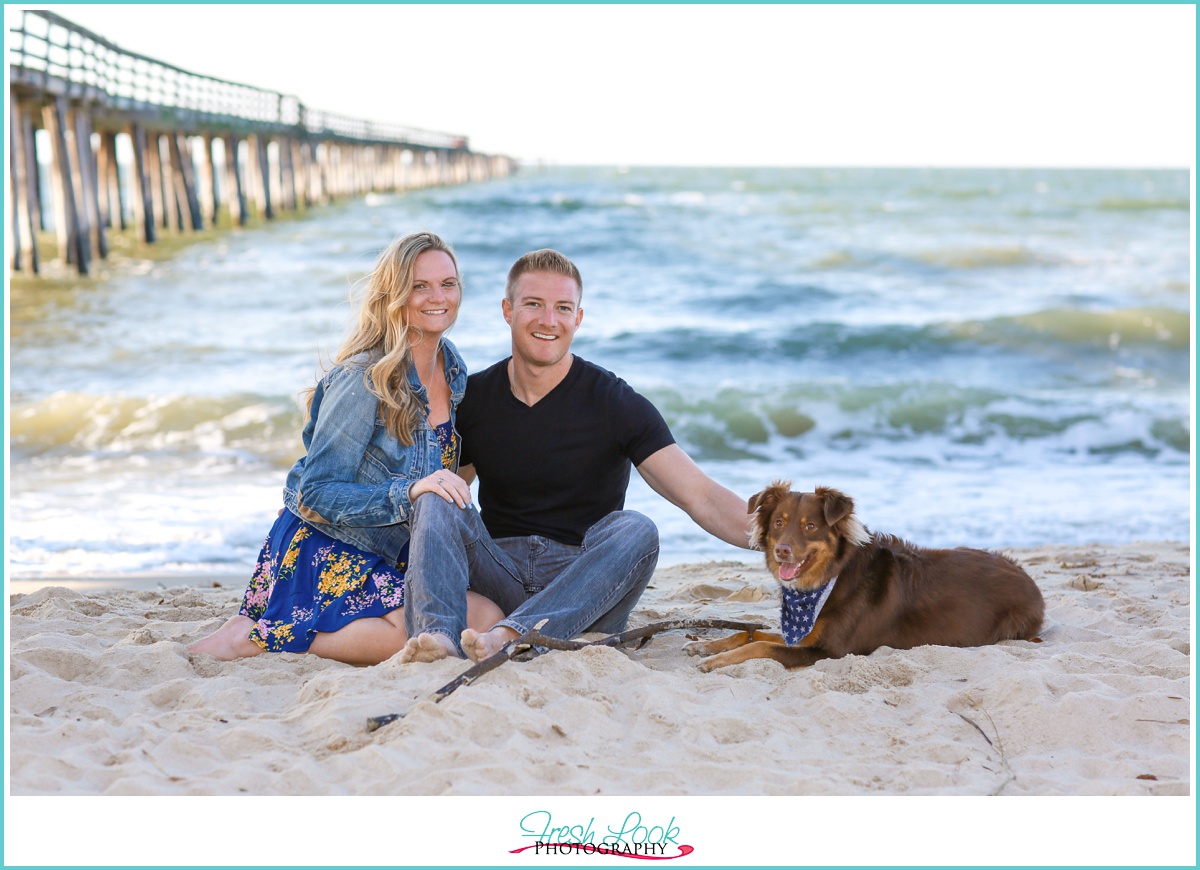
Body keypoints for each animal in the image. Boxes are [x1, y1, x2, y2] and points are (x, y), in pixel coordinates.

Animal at [691, 482, 1046, 672]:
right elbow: (752, 634)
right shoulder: (806, 636)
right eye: (779, 522)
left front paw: (718, 659)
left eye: (810, 526)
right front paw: (711, 646)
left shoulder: (831, 652)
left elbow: (762, 647)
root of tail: (1028, 578)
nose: (782, 551)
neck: (832, 578)